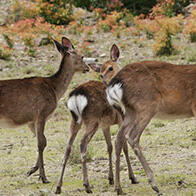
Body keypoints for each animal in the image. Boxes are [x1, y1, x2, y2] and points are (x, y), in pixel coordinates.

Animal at [0, 36, 89, 184]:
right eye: (82, 56)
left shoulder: (32, 120)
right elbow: (41, 143)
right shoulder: (41, 113)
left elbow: (43, 140)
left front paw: (31, 170)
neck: (54, 90)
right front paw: (43, 177)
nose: (87, 68)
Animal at [55, 44, 138, 194]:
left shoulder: (105, 124)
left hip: (75, 121)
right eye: (101, 71)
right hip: (91, 120)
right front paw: (132, 177)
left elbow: (109, 147)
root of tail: (76, 96)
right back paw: (86, 185)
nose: (103, 78)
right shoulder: (121, 120)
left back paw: (58, 186)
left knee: (68, 147)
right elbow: (124, 147)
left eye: (110, 67)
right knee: (82, 144)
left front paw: (110, 179)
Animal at [105, 60, 196, 195]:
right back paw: (154, 184)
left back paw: (118, 188)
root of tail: (114, 83)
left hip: (130, 111)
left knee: (119, 138)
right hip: (146, 106)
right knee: (132, 136)